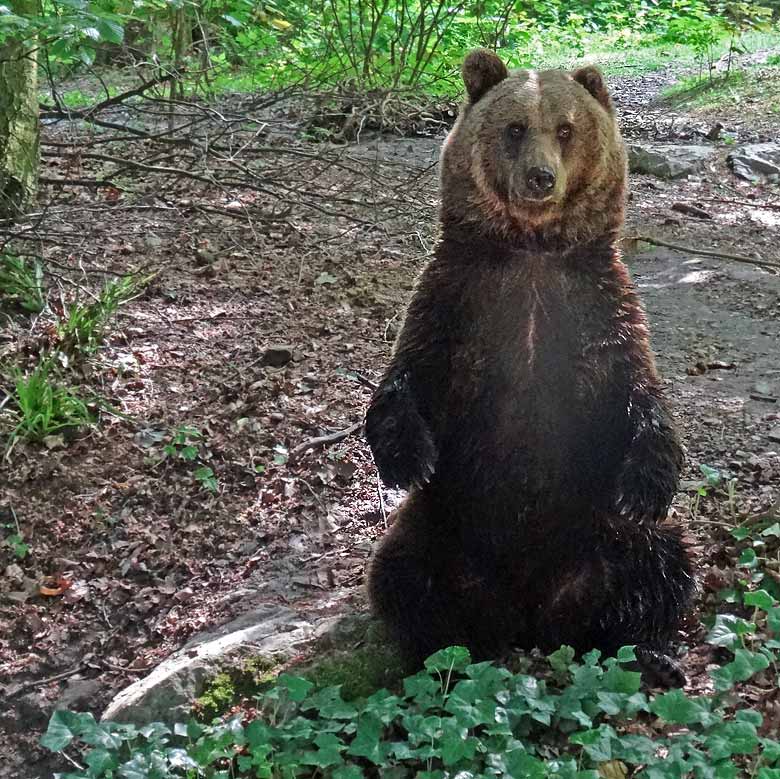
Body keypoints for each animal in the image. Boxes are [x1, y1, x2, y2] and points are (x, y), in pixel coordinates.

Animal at [366, 47, 696, 684]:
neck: (533, 253)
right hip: (444, 527)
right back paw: (442, 658)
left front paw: (647, 486)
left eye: (566, 129)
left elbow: (639, 392)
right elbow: (409, 374)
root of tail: (531, 615)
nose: (540, 178)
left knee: (661, 561)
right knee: (403, 575)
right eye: (515, 128)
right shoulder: (461, 301)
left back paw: (647, 651)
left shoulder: (596, 308)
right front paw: (406, 459)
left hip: (599, 529)